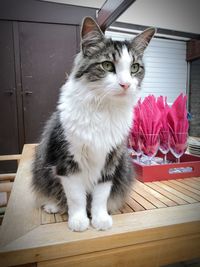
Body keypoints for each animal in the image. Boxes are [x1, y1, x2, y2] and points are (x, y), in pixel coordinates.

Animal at [32, 16, 155, 231]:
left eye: (134, 68)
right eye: (107, 65)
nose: (125, 84)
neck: (103, 109)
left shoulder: (110, 161)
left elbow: (100, 197)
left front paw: (100, 219)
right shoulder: (67, 162)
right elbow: (76, 198)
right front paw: (79, 221)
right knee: (56, 195)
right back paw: (53, 206)